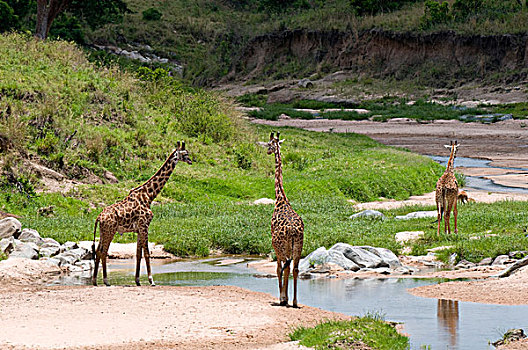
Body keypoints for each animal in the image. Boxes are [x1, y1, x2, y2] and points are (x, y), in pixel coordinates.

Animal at [92, 141, 192, 286]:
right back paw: (105, 281)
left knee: (98, 251)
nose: (191, 161)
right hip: (110, 231)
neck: (149, 196)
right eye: (185, 154)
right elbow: (147, 253)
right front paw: (151, 280)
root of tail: (99, 217)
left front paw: (138, 280)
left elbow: (139, 254)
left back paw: (95, 280)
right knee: (103, 251)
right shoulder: (144, 226)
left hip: (103, 231)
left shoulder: (139, 229)